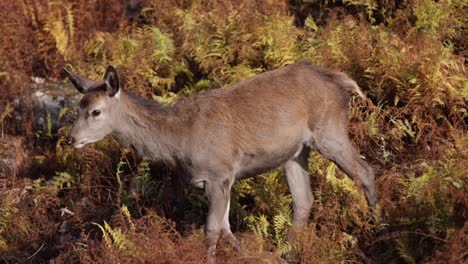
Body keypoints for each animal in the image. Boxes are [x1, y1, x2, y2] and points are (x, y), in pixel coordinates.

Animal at [64, 62, 378, 260]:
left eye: (95, 111)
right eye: (77, 107)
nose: (70, 139)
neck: (178, 142)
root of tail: (340, 81)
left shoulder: (218, 173)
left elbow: (212, 231)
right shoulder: (219, 180)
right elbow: (226, 228)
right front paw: (259, 257)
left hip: (329, 130)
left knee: (366, 172)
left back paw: (378, 229)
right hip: (295, 152)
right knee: (304, 200)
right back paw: (288, 254)